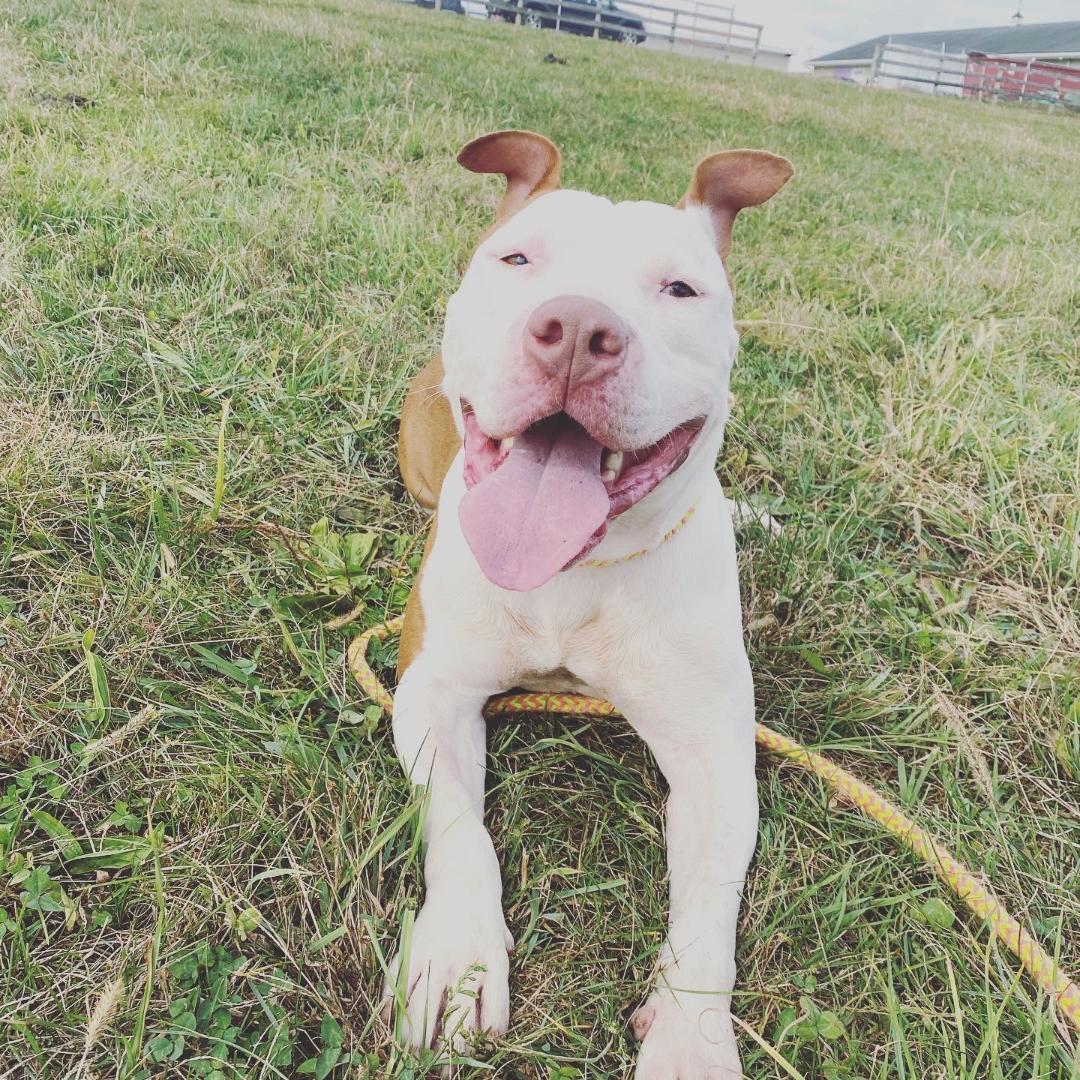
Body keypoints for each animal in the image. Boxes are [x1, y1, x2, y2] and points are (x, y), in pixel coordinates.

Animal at [384, 130, 790, 1075]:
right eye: (518, 258)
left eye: (680, 289)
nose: (574, 329)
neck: (574, 568)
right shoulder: (433, 691)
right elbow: (459, 829)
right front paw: (457, 958)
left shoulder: (715, 755)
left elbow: (708, 917)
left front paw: (691, 1041)